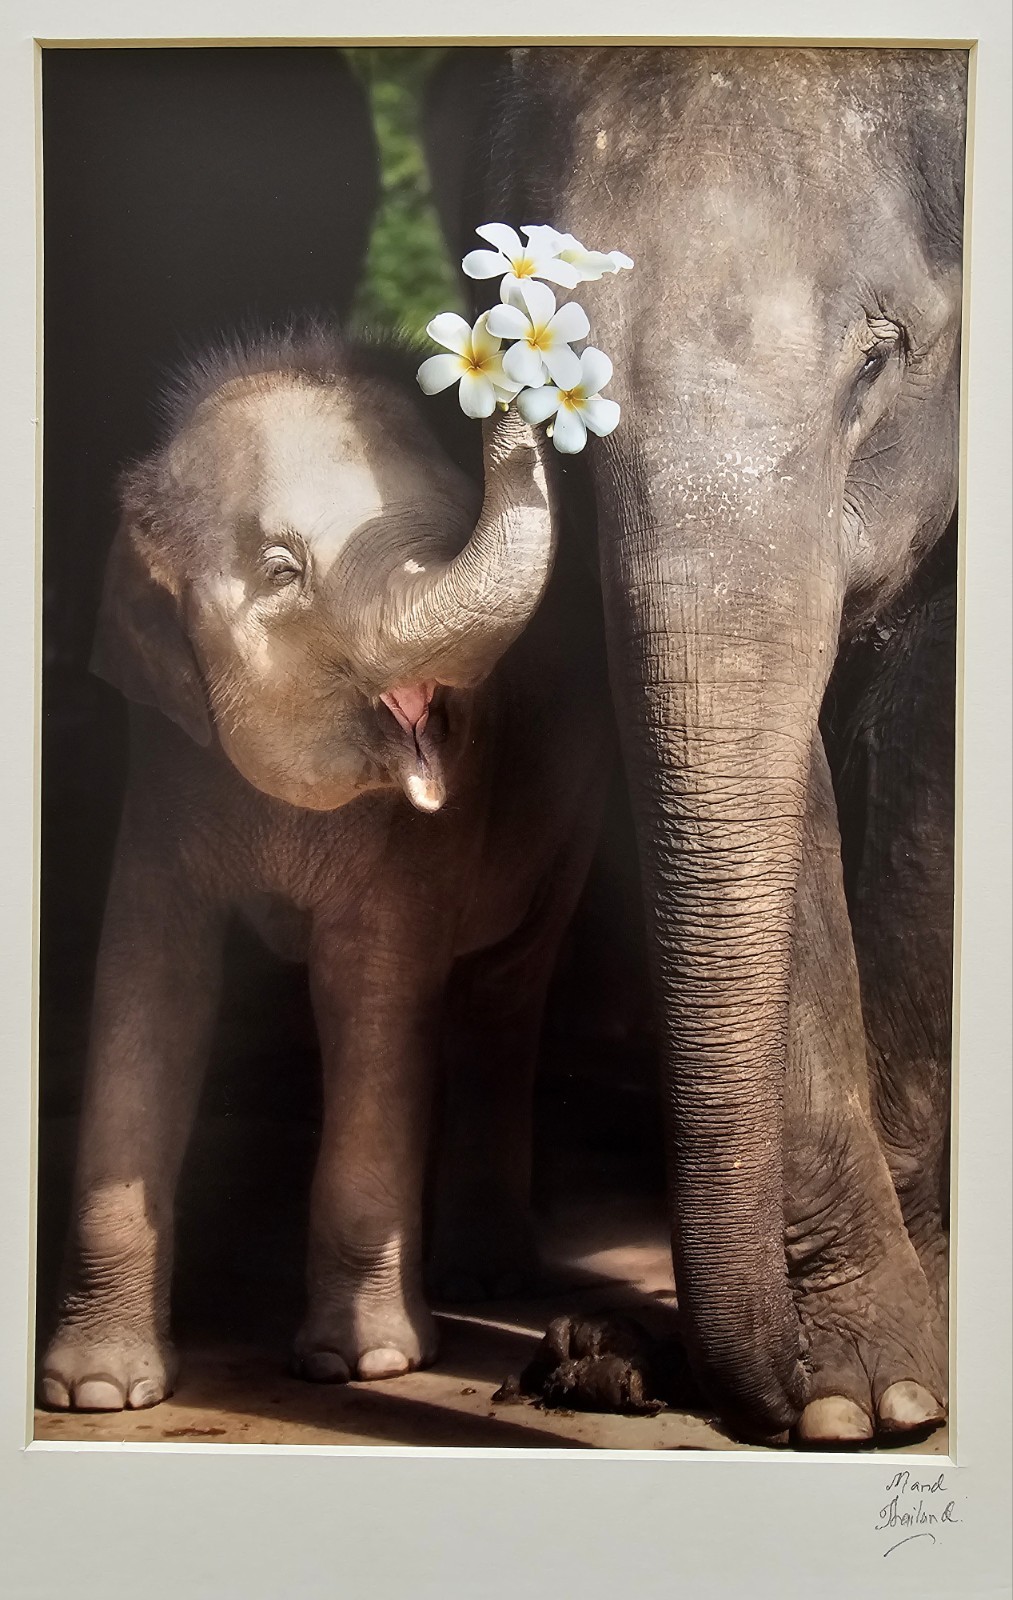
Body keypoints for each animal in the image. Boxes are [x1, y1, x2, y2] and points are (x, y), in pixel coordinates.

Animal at [38, 331, 610, 1410]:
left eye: (453, 522)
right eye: (279, 570)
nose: (502, 346)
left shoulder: (418, 844)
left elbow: (373, 994)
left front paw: (366, 1363)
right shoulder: (164, 771)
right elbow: (148, 989)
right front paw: (96, 1392)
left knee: (502, 993)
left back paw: (485, 1279)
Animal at [434, 45, 964, 1443]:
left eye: (879, 360)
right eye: (546, 373)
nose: (763, 1396)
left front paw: (902, 1380)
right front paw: (855, 1394)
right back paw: (593, 1353)